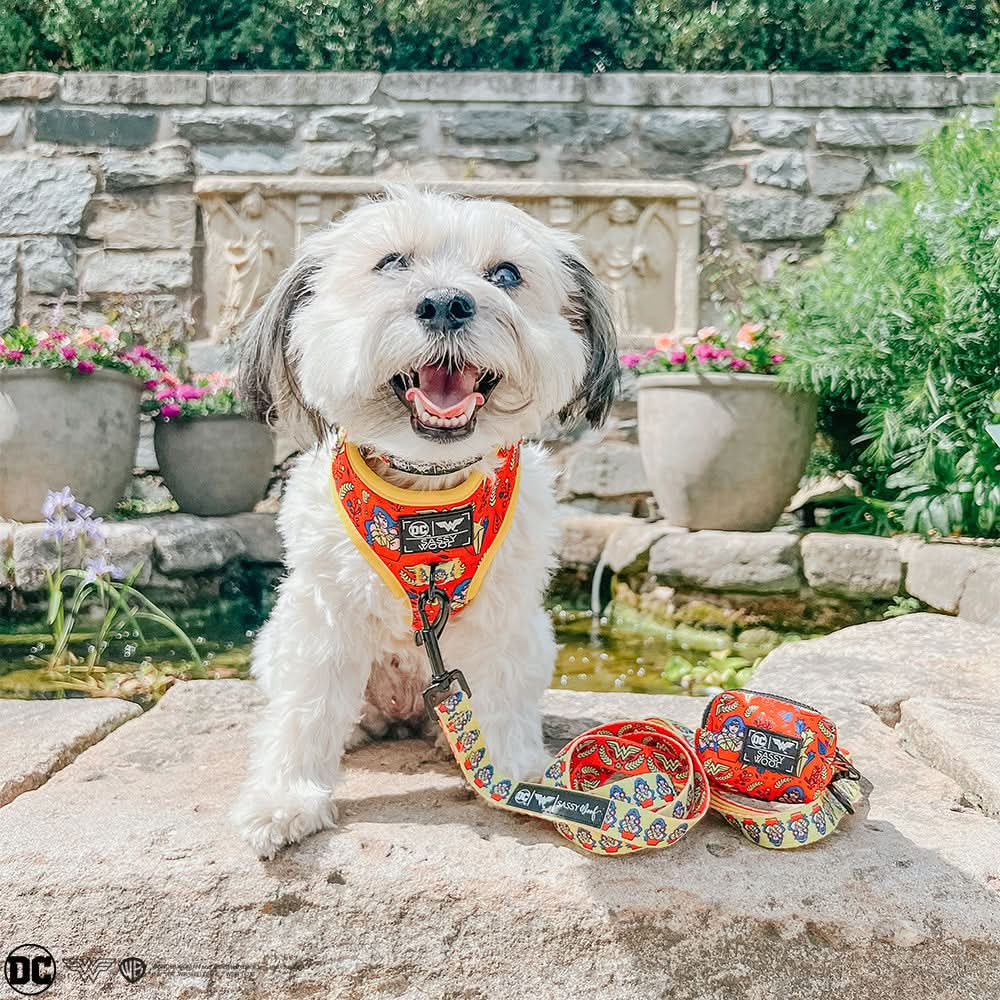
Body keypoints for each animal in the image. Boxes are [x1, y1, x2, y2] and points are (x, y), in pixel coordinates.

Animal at [232, 188, 618, 858]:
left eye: (506, 274)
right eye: (391, 263)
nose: (445, 303)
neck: (428, 500)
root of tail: (406, 707)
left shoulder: (504, 616)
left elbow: (503, 696)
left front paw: (516, 777)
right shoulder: (324, 611)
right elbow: (306, 708)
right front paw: (284, 800)